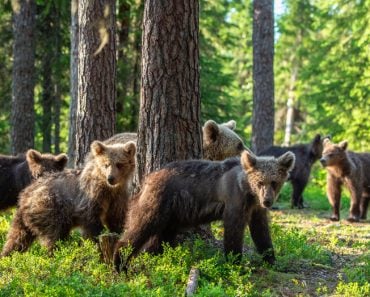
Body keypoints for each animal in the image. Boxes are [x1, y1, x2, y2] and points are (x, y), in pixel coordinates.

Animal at [0, 140, 136, 256]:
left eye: (119, 164)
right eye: (106, 164)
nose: (111, 178)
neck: (108, 189)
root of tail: (26, 195)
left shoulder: (118, 197)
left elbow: (116, 218)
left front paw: (119, 234)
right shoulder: (90, 197)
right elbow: (91, 220)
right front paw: (95, 241)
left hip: (27, 217)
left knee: (17, 238)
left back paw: (7, 255)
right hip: (50, 208)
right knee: (55, 236)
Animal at [112, 150, 294, 270]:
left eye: (274, 182)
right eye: (260, 182)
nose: (267, 201)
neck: (248, 190)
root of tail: (148, 178)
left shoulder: (255, 208)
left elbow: (261, 231)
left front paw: (271, 259)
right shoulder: (234, 200)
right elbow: (234, 230)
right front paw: (234, 261)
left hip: (172, 213)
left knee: (162, 236)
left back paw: (157, 256)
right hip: (158, 201)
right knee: (141, 225)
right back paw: (119, 261)